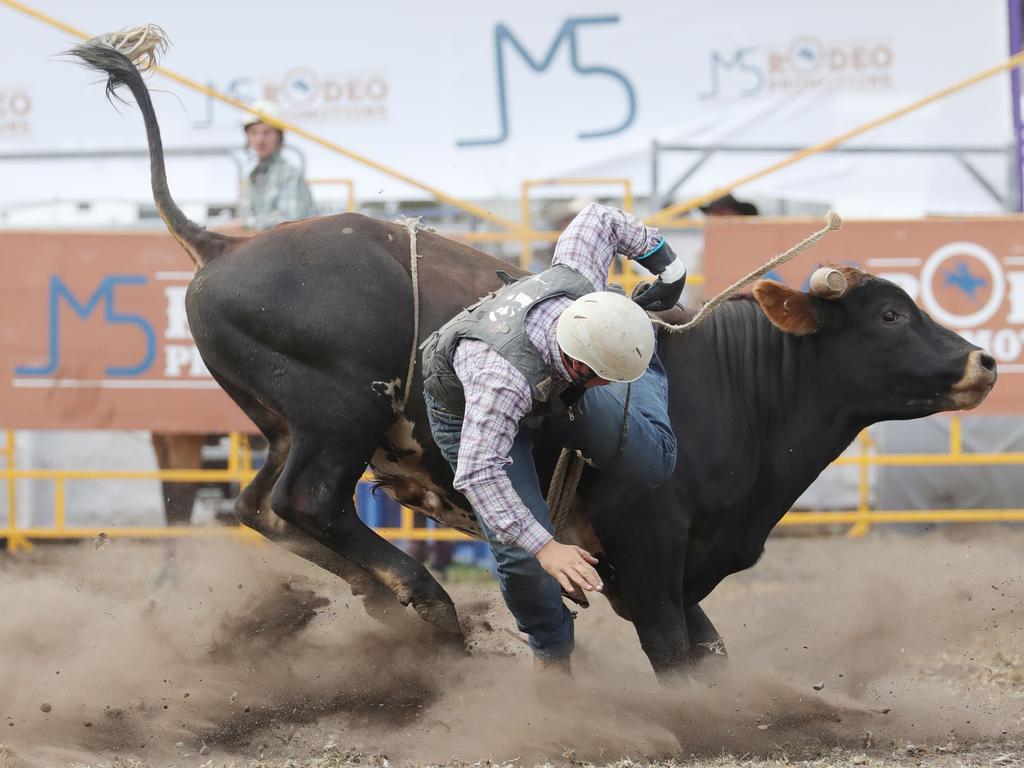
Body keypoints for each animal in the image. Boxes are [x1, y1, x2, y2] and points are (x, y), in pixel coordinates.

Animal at [68, 28, 995, 679]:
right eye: (889, 314)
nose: (983, 363)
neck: (735, 388)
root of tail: (220, 243)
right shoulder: (648, 552)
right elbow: (677, 654)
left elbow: (709, 651)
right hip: (336, 414)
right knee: (307, 503)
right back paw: (424, 598)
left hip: (283, 422)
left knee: (258, 506)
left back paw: (383, 598)